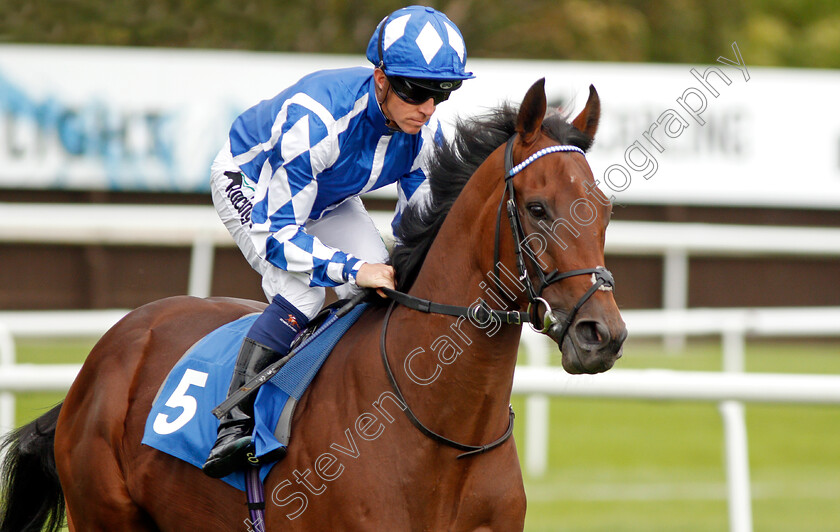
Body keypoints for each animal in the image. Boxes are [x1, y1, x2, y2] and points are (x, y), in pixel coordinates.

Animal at [0, 80, 624, 532]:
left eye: (605, 207)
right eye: (538, 208)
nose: (603, 334)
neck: (443, 434)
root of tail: (105, 355)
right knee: (293, 291)